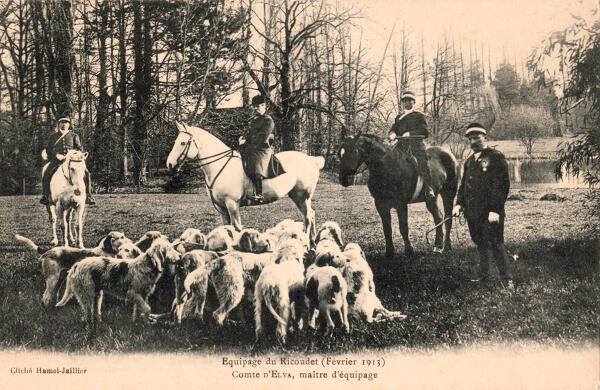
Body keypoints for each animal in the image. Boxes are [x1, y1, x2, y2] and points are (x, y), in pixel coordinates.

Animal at [164, 122, 326, 244]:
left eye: (182, 143)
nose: (170, 164)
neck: (221, 165)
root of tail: (312, 159)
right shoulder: (222, 207)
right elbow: (226, 228)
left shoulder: (232, 204)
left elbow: (236, 227)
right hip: (297, 196)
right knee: (311, 214)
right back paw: (313, 240)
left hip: (302, 196)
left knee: (308, 217)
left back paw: (307, 241)